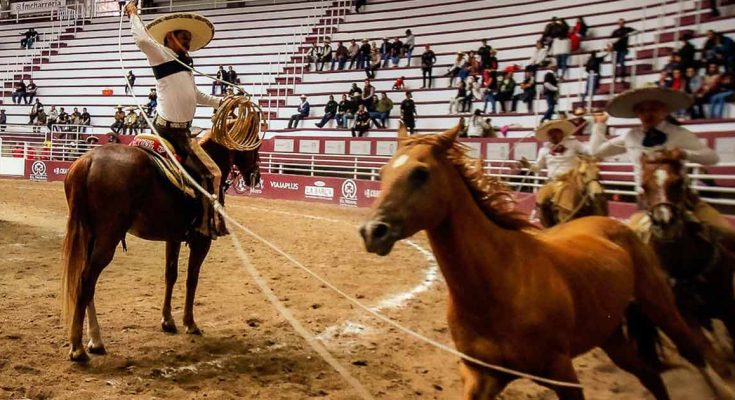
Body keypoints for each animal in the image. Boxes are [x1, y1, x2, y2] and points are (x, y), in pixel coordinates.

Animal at [61, 129, 260, 362]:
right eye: (256, 144)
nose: (256, 176)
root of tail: (89, 160)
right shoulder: (201, 241)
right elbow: (192, 279)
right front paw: (190, 323)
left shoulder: (172, 238)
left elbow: (170, 276)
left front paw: (167, 320)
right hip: (107, 239)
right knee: (86, 281)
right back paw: (77, 347)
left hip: (90, 236)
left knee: (87, 283)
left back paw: (95, 341)